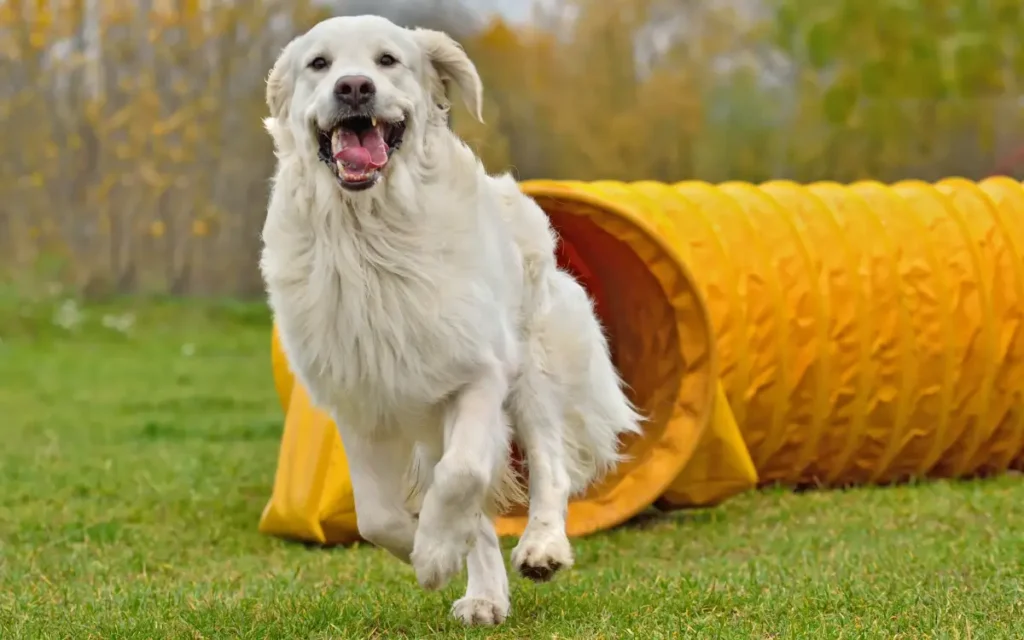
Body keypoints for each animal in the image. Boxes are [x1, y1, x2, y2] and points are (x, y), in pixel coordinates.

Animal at [258, 13, 638, 622]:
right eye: (319, 64)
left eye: (388, 60)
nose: (354, 87)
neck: (370, 232)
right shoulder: (360, 401)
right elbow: (378, 516)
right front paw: (431, 551)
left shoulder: (477, 374)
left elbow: (462, 475)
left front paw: (436, 551)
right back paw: (484, 596)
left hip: (531, 375)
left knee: (549, 465)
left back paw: (542, 548)